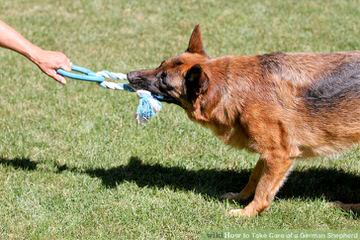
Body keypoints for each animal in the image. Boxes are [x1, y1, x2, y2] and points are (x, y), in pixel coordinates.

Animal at [127, 25, 360, 217]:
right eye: (160, 65)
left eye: (163, 80)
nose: (129, 75)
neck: (233, 89)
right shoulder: (268, 152)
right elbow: (254, 178)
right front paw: (239, 197)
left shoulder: (279, 155)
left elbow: (263, 191)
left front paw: (247, 214)